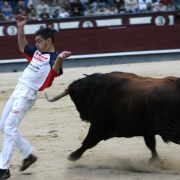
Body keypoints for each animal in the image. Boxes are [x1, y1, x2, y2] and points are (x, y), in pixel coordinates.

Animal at [45, 71, 180, 162]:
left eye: (74, 99)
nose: (82, 116)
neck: (94, 89)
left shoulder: (98, 127)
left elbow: (87, 142)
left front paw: (73, 156)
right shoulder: (147, 129)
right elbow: (151, 144)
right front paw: (155, 160)